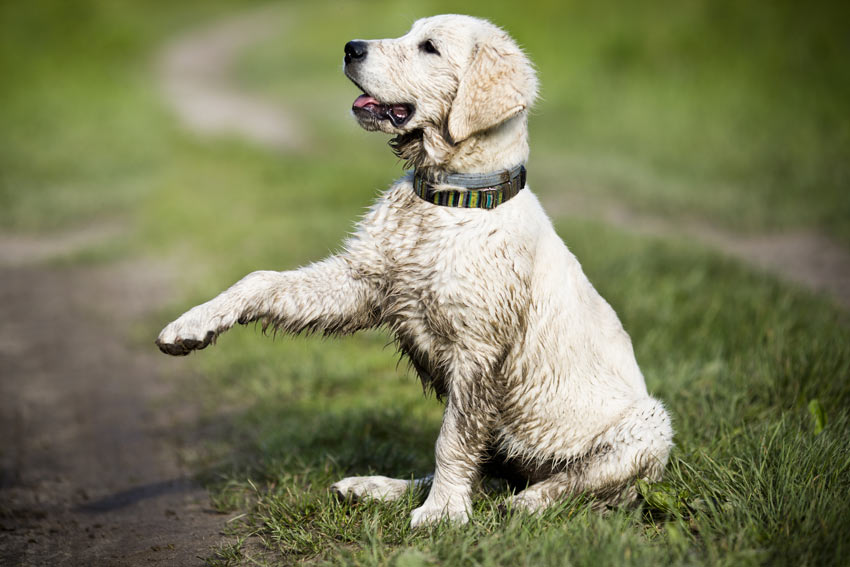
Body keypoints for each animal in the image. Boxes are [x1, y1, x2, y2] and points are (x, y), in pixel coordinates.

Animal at [157, 13, 668, 528]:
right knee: (486, 477)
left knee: (577, 486)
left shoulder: (477, 350)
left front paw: (443, 514)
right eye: (409, 32)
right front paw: (193, 324)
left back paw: (529, 501)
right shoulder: (362, 283)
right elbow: (261, 279)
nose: (350, 48)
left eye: (429, 47)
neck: (446, 198)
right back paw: (377, 487)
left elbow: (454, 439)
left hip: (651, 426)